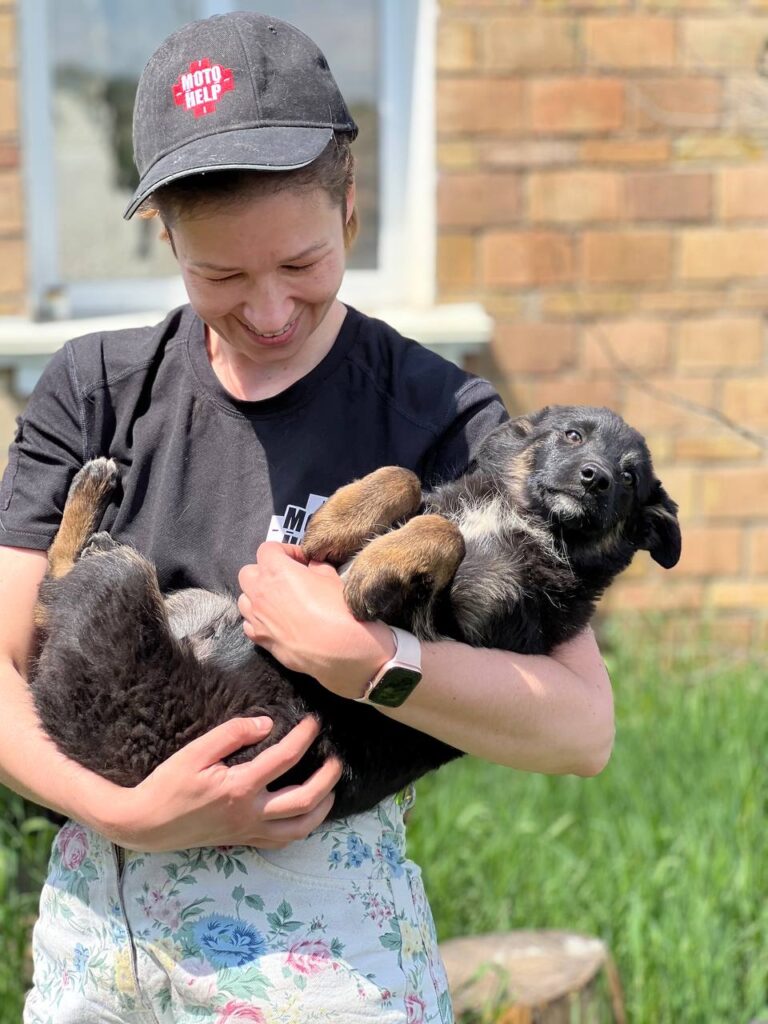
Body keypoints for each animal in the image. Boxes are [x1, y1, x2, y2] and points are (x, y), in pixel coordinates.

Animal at [28, 405, 679, 815]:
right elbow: (408, 481)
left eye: (630, 477)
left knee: (54, 595)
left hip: (123, 587)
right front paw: (335, 521)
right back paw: (91, 489)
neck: (523, 520)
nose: (596, 479)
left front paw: (369, 568)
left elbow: (442, 534)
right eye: (572, 436)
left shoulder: (459, 624)